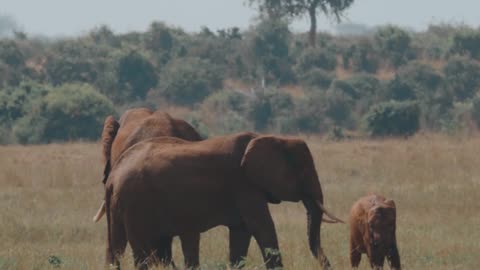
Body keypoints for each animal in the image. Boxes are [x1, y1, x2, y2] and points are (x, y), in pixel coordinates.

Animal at [103, 133, 344, 270]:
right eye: (303, 172)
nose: (329, 265)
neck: (274, 138)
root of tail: (113, 176)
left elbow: (241, 232)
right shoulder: (243, 184)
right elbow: (262, 226)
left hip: (121, 205)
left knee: (117, 246)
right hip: (135, 203)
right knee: (141, 250)